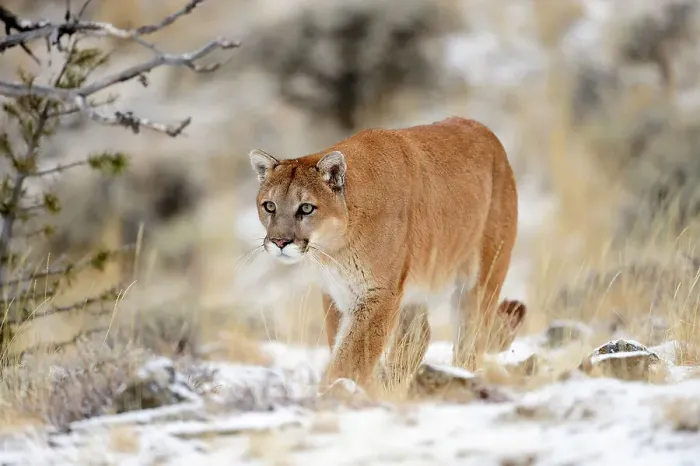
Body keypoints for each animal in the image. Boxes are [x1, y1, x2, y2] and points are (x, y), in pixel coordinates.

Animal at [248, 116, 526, 390]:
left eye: (306, 208)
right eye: (269, 206)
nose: (280, 241)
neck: (336, 250)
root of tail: (485, 130)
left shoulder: (379, 295)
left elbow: (352, 356)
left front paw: (337, 391)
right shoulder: (336, 294)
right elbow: (341, 344)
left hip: (482, 280)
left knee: (470, 339)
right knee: (419, 336)